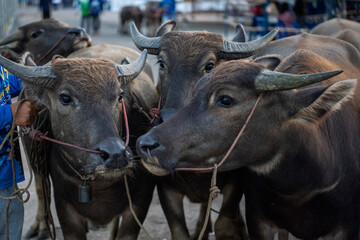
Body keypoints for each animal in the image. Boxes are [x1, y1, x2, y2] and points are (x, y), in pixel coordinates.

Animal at [0, 51, 158, 240]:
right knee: (41, 189)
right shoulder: (65, 208)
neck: (100, 184)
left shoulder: (139, 204)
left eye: (119, 96)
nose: (116, 155)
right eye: (65, 98)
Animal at [129, 21, 278, 239]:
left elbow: (224, 223)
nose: (167, 118)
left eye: (209, 66)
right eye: (162, 64)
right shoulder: (166, 189)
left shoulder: (234, 185)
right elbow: (179, 231)